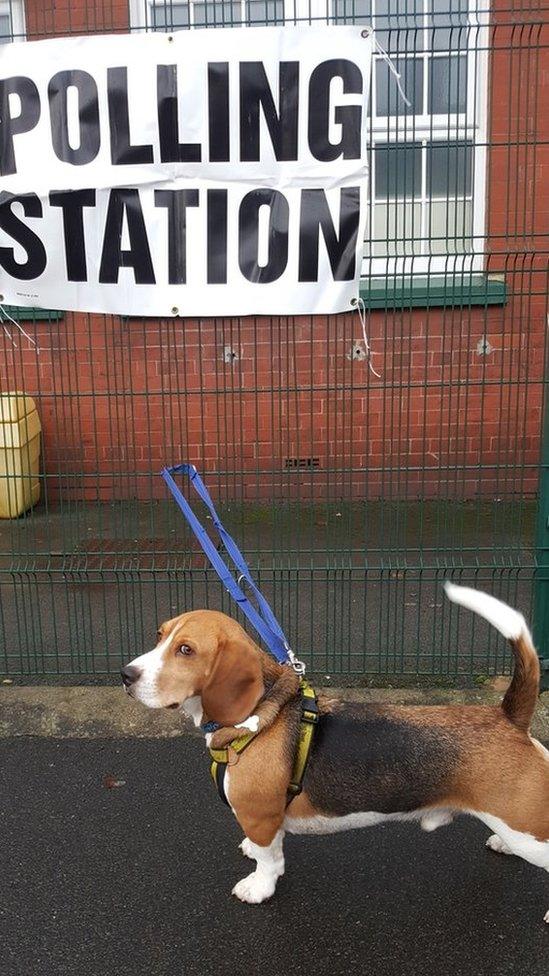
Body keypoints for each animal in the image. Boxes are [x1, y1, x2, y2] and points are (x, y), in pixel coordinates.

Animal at [122, 584, 548, 920]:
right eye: (159, 635)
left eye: (186, 650)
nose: (125, 676)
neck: (258, 713)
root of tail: (510, 717)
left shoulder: (261, 816)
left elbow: (269, 861)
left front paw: (258, 888)